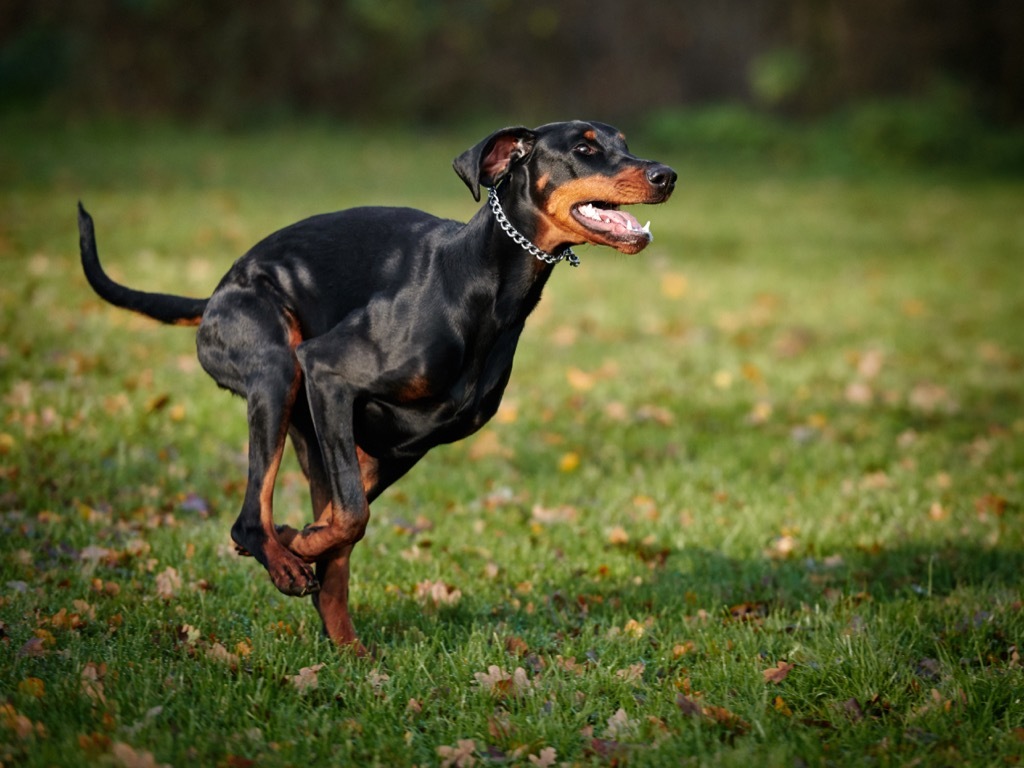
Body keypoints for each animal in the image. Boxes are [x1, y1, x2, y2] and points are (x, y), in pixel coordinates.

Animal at [77, 118, 671, 651]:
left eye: (623, 142)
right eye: (584, 148)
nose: (667, 175)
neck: (478, 282)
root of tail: (215, 296)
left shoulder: (403, 445)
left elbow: (344, 524)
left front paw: (300, 541)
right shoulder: (327, 373)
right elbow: (350, 517)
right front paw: (298, 546)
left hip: (316, 434)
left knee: (326, 565)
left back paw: (346, 648)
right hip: (277, 370)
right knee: (248, 519)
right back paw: (285, 565)